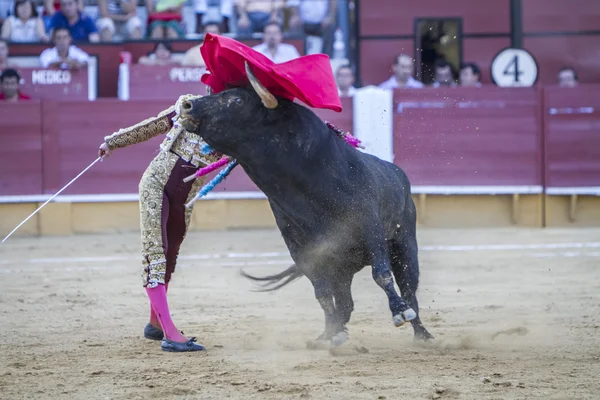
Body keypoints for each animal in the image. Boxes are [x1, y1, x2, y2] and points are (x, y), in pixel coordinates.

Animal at [180, 64, 434, 348]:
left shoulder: (370, 230)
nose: (186, 106)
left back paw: (422, 334)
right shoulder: (304, 251)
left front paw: (399, 312)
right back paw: (332, 333)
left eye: (236, 100)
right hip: (343, 267)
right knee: (345, 302)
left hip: (405, 245)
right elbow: (322, 293)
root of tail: (398, 173)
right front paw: (331, 333)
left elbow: (382, 274)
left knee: (409, 288)